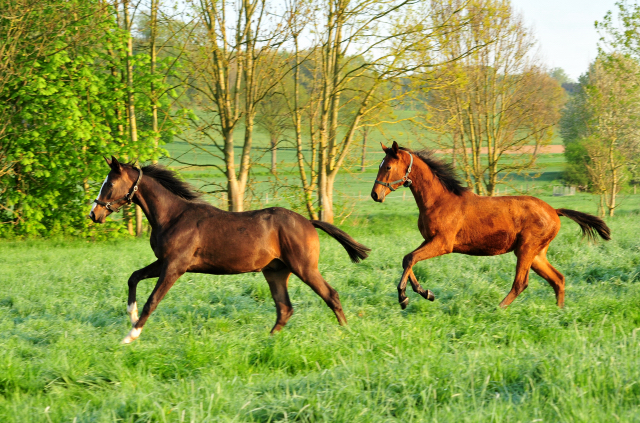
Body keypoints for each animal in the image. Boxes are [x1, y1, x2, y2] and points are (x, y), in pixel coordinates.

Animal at [90, 157, 370, 342]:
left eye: (109, 184)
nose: (94, 214)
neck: (172, 216)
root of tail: (308, 222)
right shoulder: (164, 262)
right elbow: (134, 276)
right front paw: (131, 314)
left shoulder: (175, 266)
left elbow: (153, 300)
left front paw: (131, 334)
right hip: (276, 272)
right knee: (285, 308)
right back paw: (267, 340)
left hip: (304, 268)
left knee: (330, 295)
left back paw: (346, 333)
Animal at [370, 142, 608, 312]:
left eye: (388, 166)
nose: (375, 194)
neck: (439, 201)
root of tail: (554, 210)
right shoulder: (429, 240)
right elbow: (407, 259)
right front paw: (424, 292)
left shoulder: (443, 244)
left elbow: (410, 258)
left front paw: (404, 297)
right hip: (537, 254)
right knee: (558, 279)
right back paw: (559, 313)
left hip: (526, 249)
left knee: (521, 283)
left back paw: (497, 309)